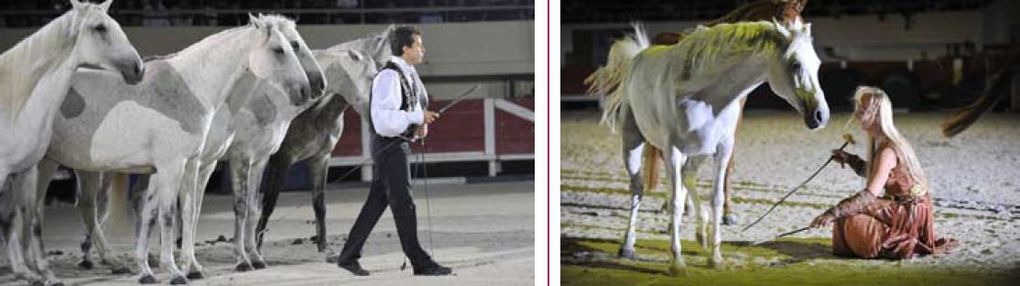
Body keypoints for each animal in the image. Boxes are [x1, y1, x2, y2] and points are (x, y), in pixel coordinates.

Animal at [0, 1, 143, 283]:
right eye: (100, 27)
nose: (137, 67)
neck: (13, 99)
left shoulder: (24, 170)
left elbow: (28, 217)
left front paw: (38, 273)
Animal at [34, 13, 310, 283]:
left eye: (292, 45)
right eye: (280, 49)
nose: (305, 89)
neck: (189, 89)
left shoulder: (191, 164)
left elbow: (186, 212)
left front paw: (182, 267)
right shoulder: (173, 166)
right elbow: (167, 215)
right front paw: (175, 271)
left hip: (53, 163)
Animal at [587, 19, 832, 273]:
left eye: (817, 64)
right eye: (796, 64)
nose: (821, 115)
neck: (705, 96)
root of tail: (639, 57)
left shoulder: (722, 149)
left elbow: (716, 198)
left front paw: (715, 258)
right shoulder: (673, 150)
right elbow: (675, 202)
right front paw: (677, 263)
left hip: (698, 152)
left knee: (687, 176)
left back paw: (700, 232)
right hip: (633, 143)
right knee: (638, 188)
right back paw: (628, 245)